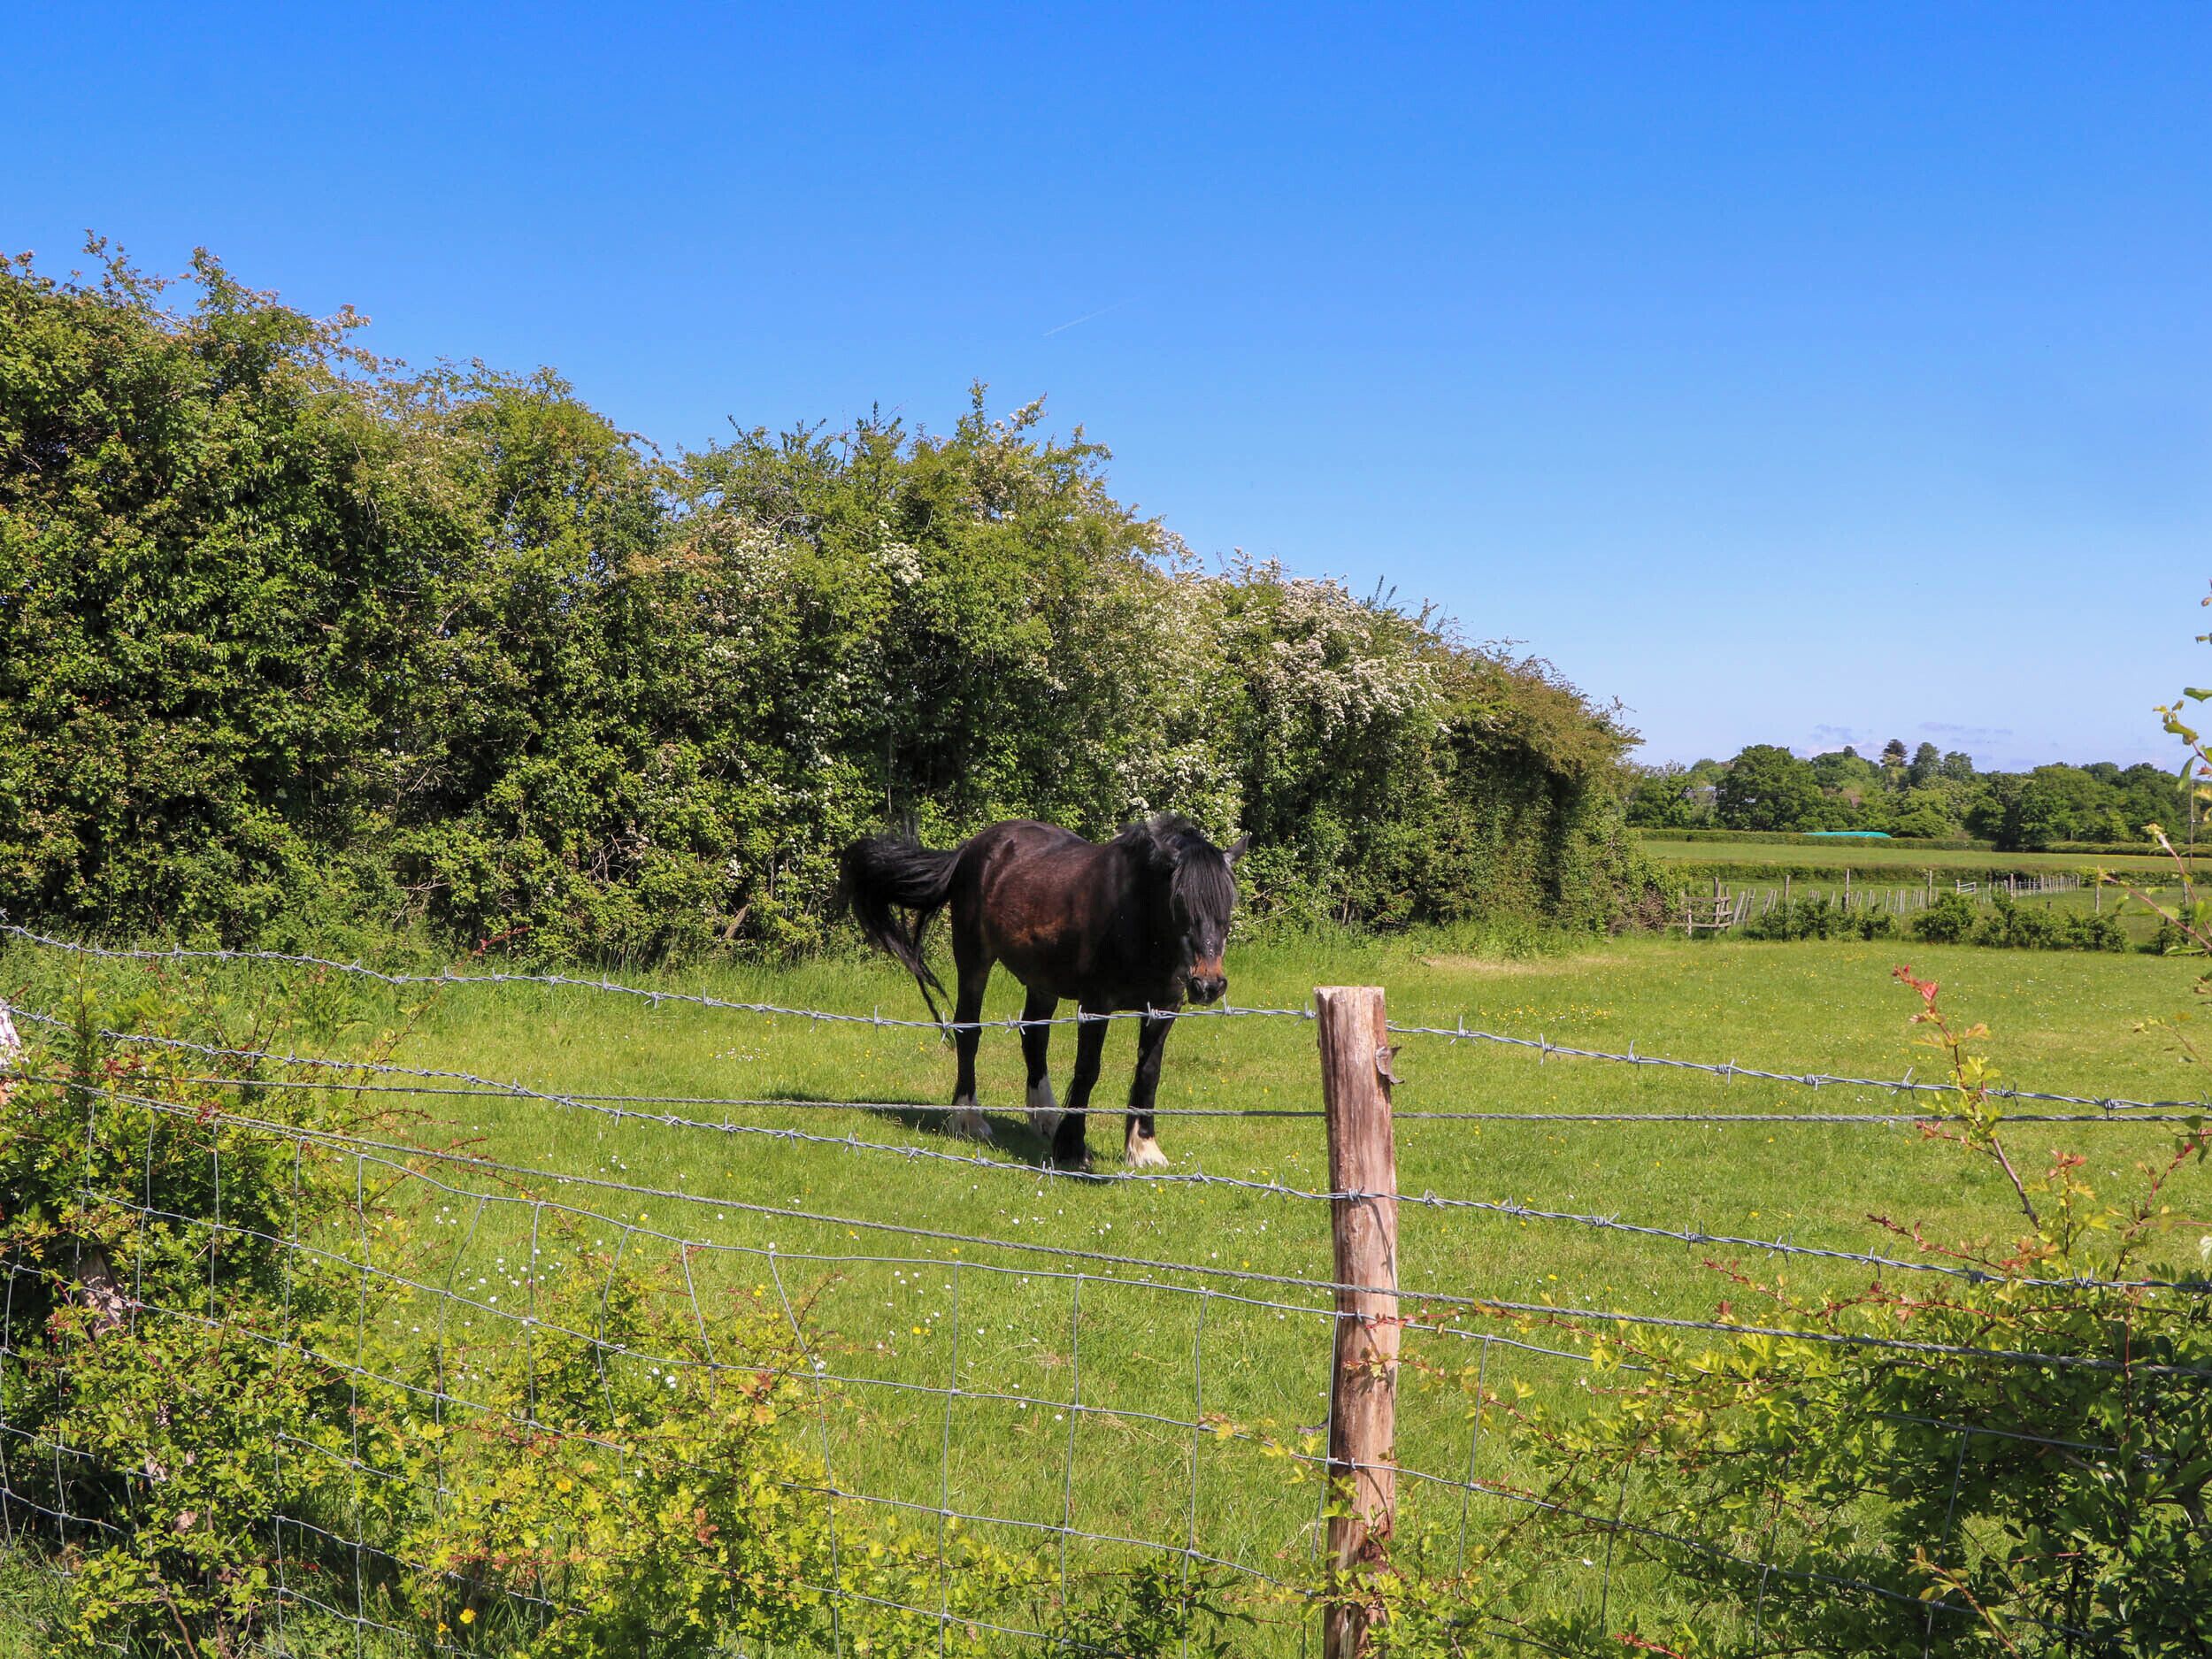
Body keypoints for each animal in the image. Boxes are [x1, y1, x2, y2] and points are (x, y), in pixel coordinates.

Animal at [836, 815, 1249, 1168]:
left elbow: (1149, 1072)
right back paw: (968, 1118)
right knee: (969, 1031)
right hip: (974, 962)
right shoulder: (1096, 1004)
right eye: (1179, 901)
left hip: (1041, 982)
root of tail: (970, 849)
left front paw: (1144, 1149)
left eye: (1228, 902)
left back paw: (1045, 1118)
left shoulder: (1165, 1006)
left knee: (1034, 1037)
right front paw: (1072, 1148)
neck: (1136, 918)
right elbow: (1088, 1069)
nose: (1209, 984)